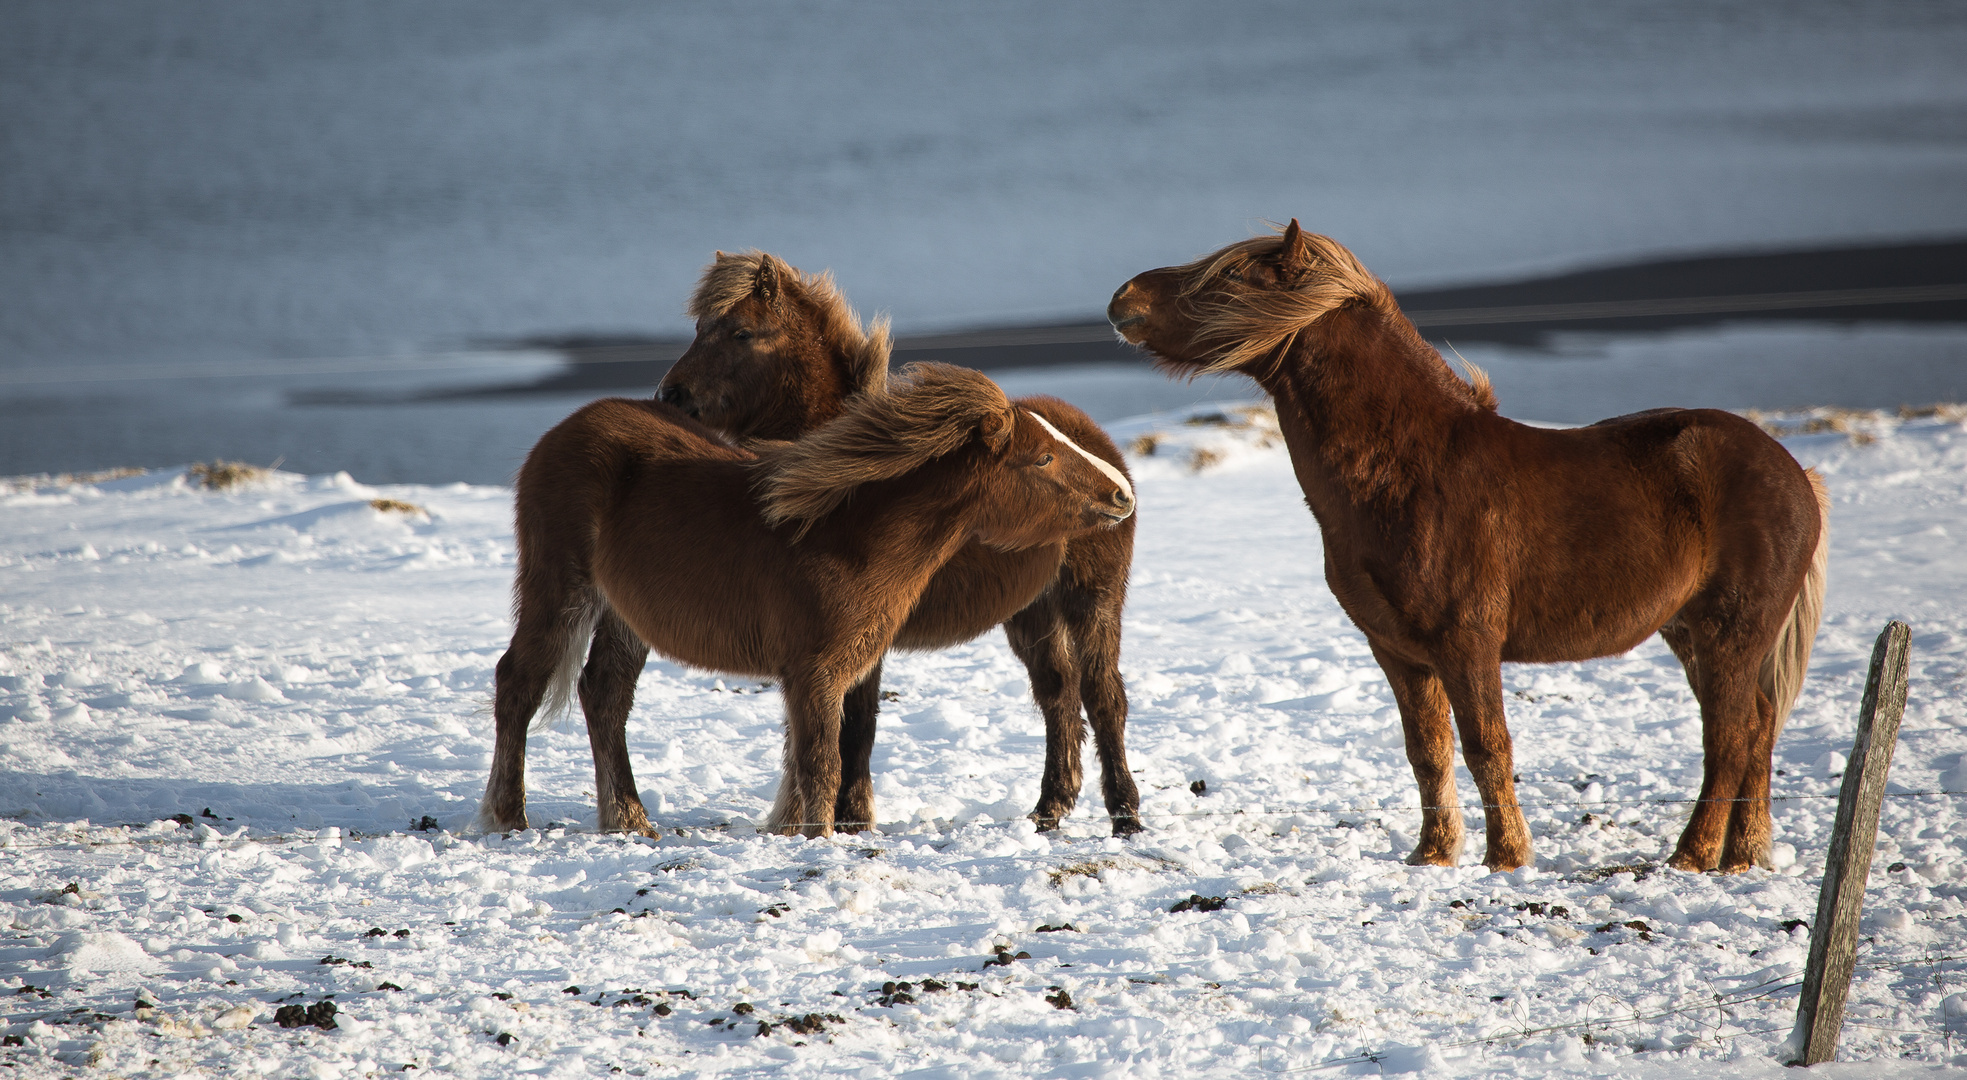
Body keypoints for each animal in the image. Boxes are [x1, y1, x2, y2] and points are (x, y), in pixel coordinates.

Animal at [474, 360, 1140, 834]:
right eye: (1043, 456)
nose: (1121, 494)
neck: (847, 535)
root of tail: (562, 432)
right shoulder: (815, 673)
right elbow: (822, 762)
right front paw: (817, 838)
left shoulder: (840, 669)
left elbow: (817, 757)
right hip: (560, 589)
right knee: (520, 681)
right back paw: (510, 817)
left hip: (621, 615)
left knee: (603, 694)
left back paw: (629, 822)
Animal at [660, 250, 1148, 834]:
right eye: (698, 329)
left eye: (740, 332)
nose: (670, 396)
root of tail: (1107, 458)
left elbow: (856, 725)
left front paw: (849, 818)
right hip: (1033, 613)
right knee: (1058, 695)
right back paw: (1050, 808)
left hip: (1092, 600)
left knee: (1103, 696)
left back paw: (1124, 815)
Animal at [1109, 223, 1825, 873]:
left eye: (1230, 276)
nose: (1123, 299)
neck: (1408, 471)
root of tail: (1794, 473)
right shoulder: (1399, 652)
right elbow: (1427, 753)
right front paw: (1432, 854)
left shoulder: (1467, 642)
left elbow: (1486, 747)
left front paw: (1505, 858)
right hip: (1694, 635)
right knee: (1758, 726)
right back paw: (1743, 857)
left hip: (1728, 633)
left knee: (1730, 738)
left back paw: (1694, 858)